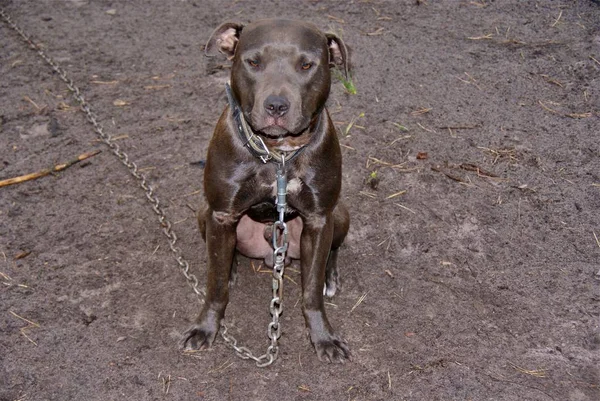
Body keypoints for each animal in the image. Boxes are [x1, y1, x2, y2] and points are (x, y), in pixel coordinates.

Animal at [183, 18, 352, 362]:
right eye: (253, 62)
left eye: (306, 65)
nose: (276, 105)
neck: (278, 153)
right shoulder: (221, 214)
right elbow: (215, 287)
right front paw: (206, 327)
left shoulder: (319, 219)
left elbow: (311, 291)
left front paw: (323, 336)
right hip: (204, 214)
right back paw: (232, 267)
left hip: (340, 214)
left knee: (332, 252)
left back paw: (330, 277)